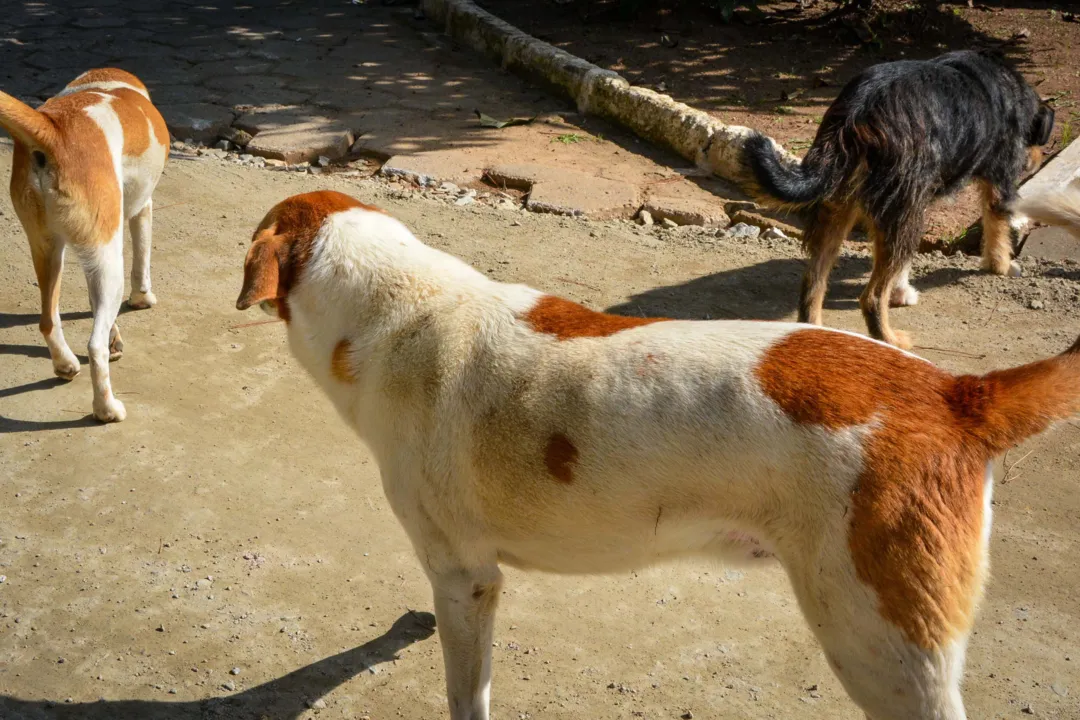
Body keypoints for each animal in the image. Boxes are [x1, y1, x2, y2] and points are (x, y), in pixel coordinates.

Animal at [0, 67, 168, 423]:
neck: (102, 82)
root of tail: (52, 129)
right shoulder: (141, 209)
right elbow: (141, 265)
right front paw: (142, 299)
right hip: (108, 261)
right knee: (94, 347)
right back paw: (106, 409)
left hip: (48, 251)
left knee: (49, 320)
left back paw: (65, 364)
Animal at [236, 191, 1080, 720]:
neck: (400, 309)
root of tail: (955, 392)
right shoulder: (469, 583)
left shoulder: (464, 575)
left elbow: (465, 695)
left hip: (882, 649)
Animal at [747, 49, 1049, 347]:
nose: (1036, 162)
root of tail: (858, 111)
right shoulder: (997, 182)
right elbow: (998, 228)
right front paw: (1002, 266)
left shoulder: (914, 203)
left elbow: (903, 263)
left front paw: (900, 292)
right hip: (895, 209)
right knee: (871, 298)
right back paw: (890, 338)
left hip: (841, 207)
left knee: (813, 283)